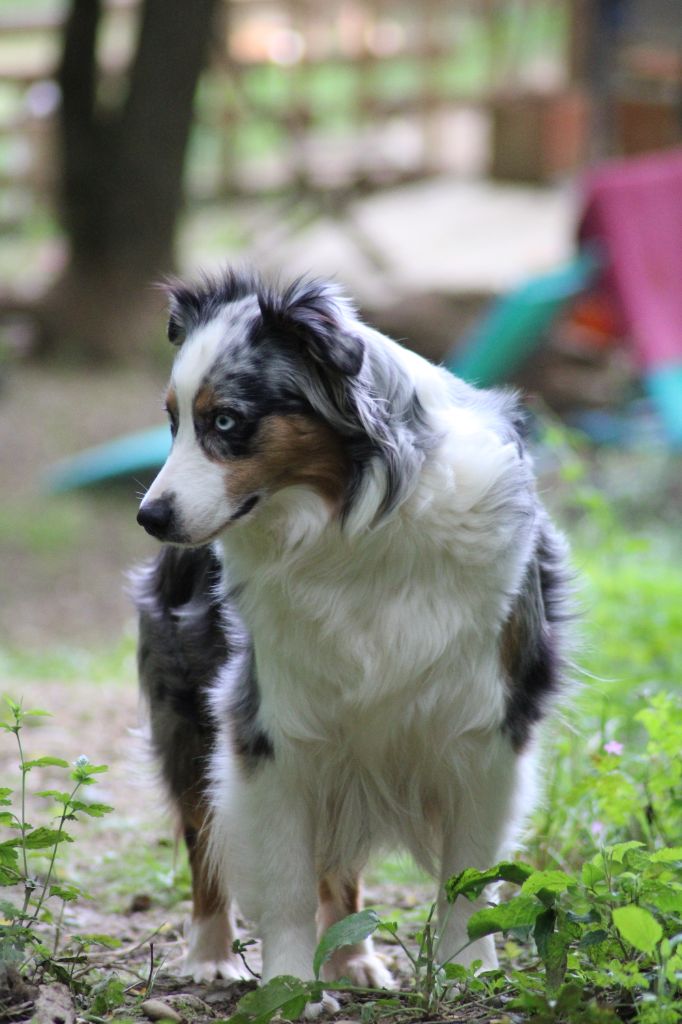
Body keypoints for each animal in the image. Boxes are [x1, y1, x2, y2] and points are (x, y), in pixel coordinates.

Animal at [133, 268, 569, 987]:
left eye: (225, 421)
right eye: (171, 423)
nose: (151, 516)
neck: (354, 528)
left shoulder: (488, 723)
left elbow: (468, 874)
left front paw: (465, 970)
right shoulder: (269, 722)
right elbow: (282, 877)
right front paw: (287, 986)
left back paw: (353, 958)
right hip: (190, 710)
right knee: (204, 837)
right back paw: (211, 954)